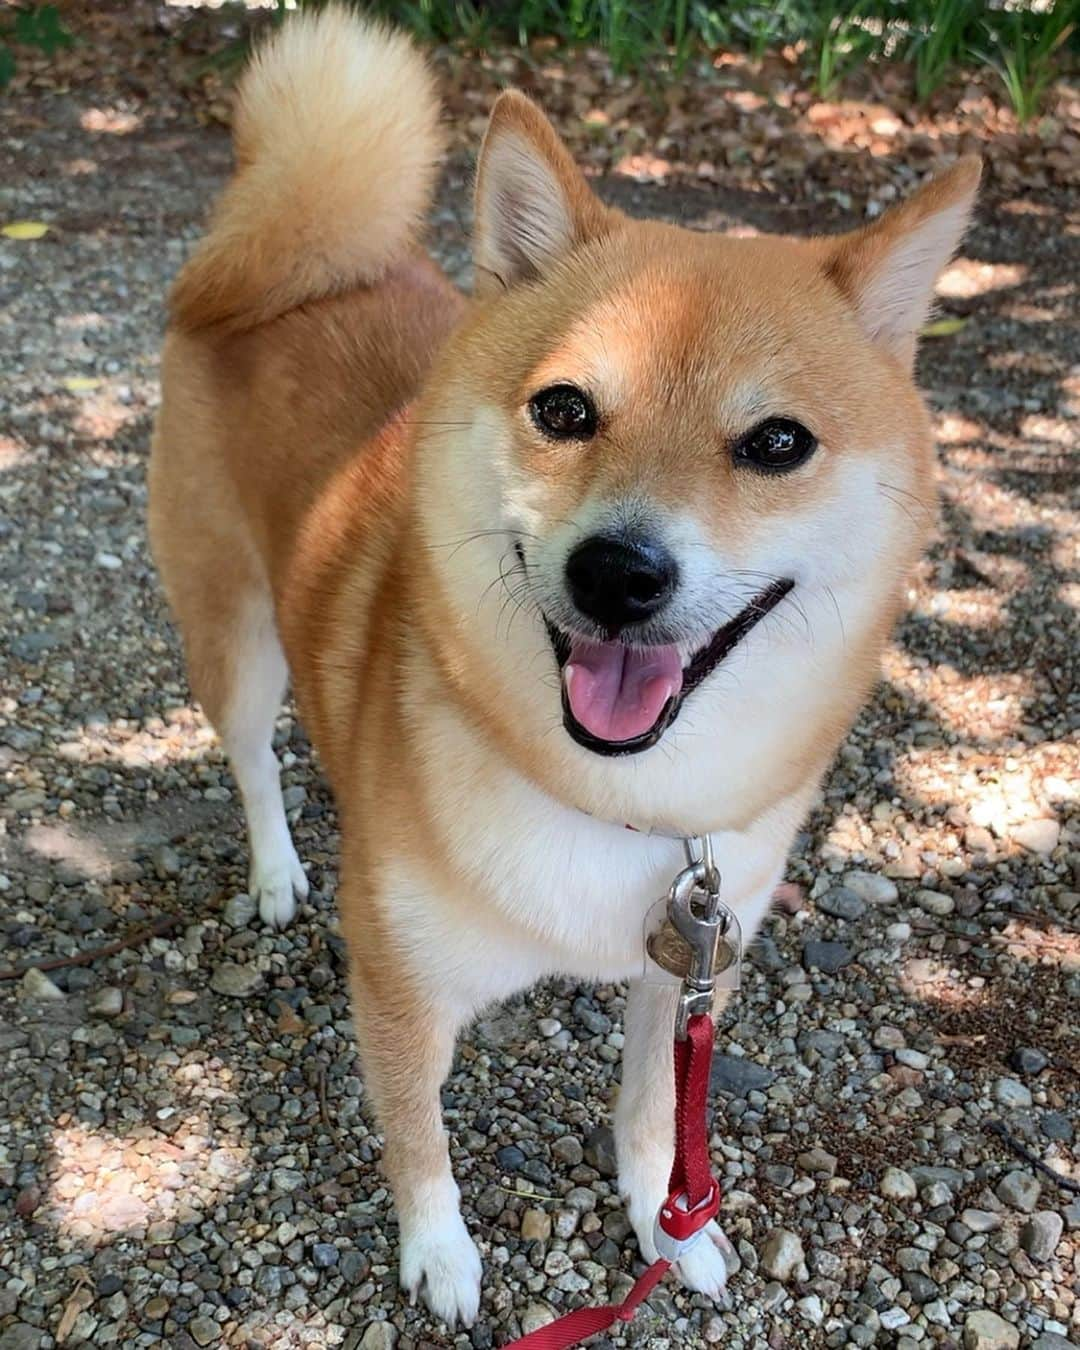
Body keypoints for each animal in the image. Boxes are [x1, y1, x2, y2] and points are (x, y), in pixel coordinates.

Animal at [147, 5, 982, 1323]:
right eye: (565, 410)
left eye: (777, 442)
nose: (619, 572)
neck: (615, 798)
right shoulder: (401, 986)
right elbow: (418, 1139)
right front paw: (440, 1258)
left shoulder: (687, 968)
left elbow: (652, 1119)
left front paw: (668, 1229)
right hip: (234, 631)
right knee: (251, 761)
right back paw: (277, 870)